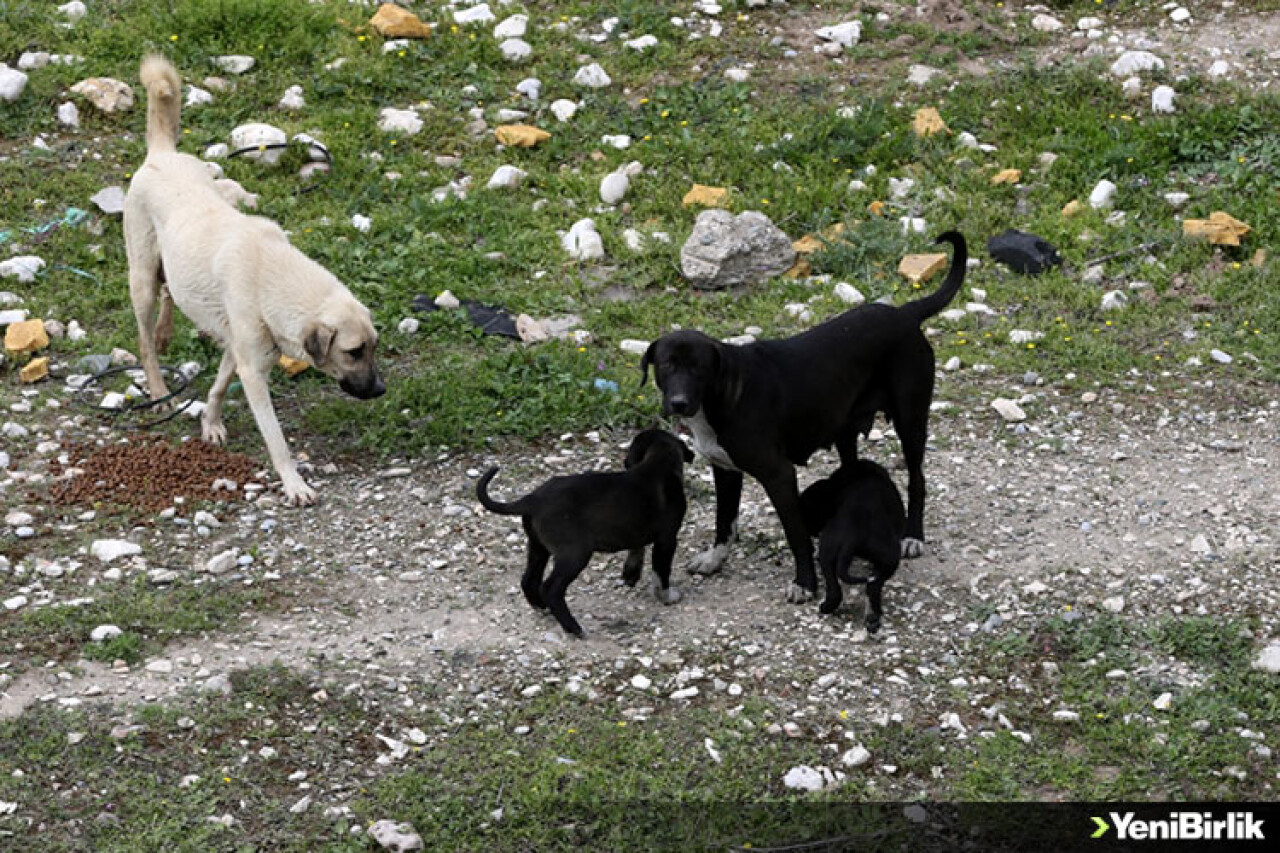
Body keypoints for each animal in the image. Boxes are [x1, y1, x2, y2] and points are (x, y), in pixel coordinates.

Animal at [124, 56, 384, 504]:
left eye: (374, 347)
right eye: (353, 352)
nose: (381, 390)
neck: (271, 273)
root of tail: (162, 154)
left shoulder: (239, 350)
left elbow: (216, 387)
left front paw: (210, 424)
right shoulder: (252, 369)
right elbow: (275, 438)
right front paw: (294, 483)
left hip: (170, 264)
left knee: (170, 292)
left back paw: (165, 332)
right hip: (140, 279)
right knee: (144, 341)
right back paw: (158, 389)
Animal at [473, 427, 691, 635]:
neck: (658, 462)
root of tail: (532, 499)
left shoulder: (636, 531)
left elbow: (637, 551)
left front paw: (631, 575)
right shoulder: (667, 539)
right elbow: (661, 574)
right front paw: (667, 597)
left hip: (538, 547)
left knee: (528, 580)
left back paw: (543, 608)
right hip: (574, 554)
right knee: (550, 589)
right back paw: (574, 628)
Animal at [645, 229, 962, 601]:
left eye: (699, 369)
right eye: (666, 365)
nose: (679, 403)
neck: (723, 394)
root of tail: (905, 314)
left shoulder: (779, 475)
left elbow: (794, 533)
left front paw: (805, 583)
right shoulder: (724, 470)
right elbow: (725, 521)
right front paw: (714, 559)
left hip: (910, 421)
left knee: (917, 479)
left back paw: (913, 535)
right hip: (846, 432)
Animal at [803, 458, 906, 630]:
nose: (811, 531)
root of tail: (854, 534)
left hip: (828, 551)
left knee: (836, 589)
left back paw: (827, 607)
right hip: (890, 558)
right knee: (873, 587)